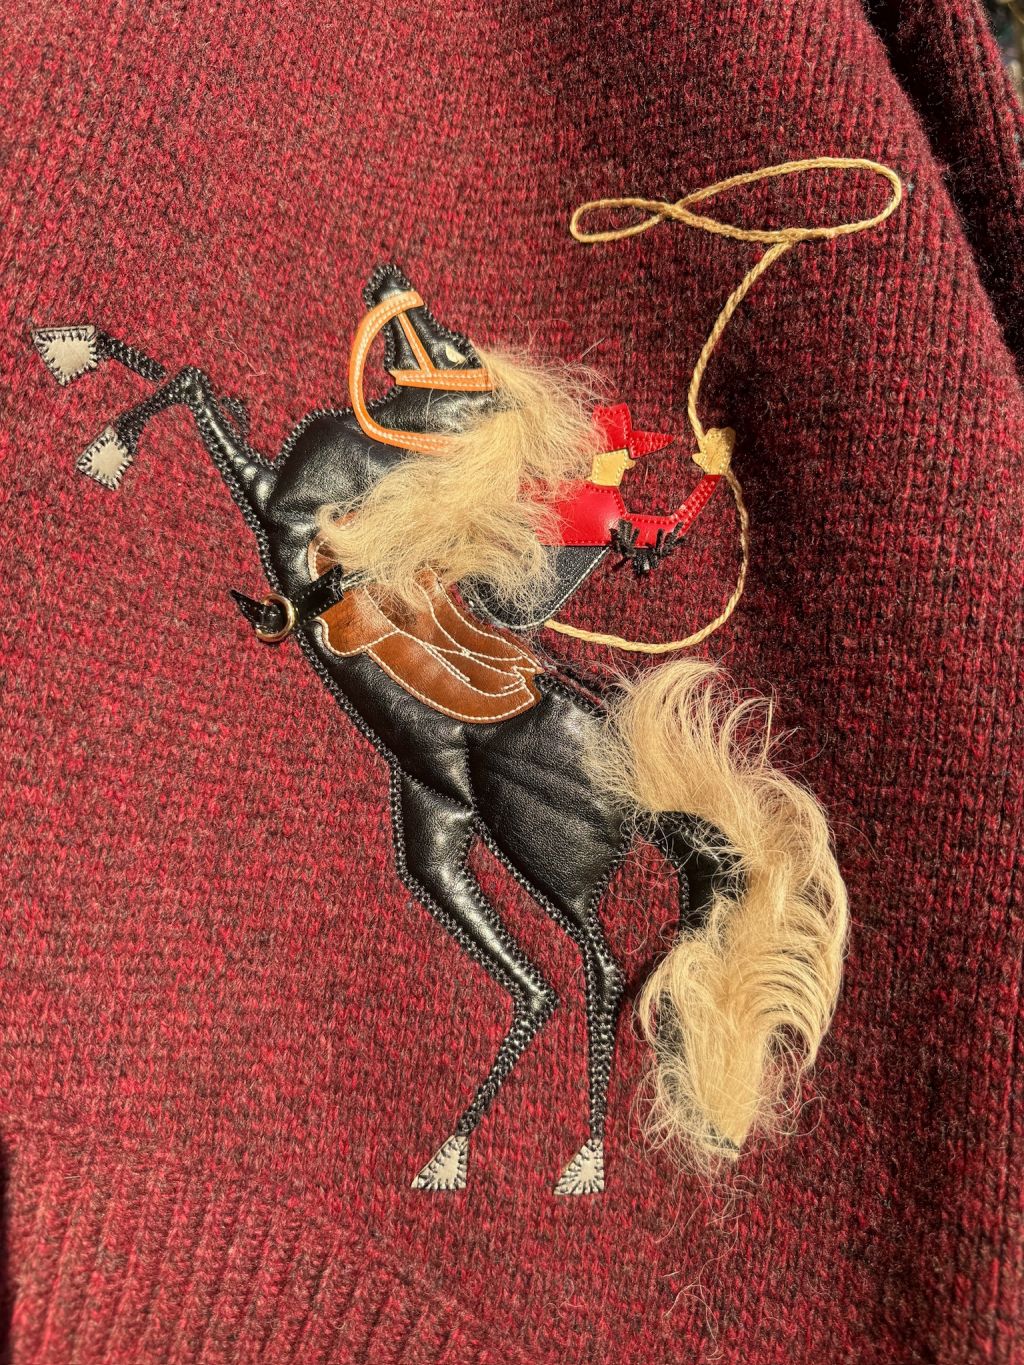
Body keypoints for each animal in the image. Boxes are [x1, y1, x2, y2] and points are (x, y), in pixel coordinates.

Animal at [32, 265, 846, 1194]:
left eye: (455, 345)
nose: (387, 278)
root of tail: (642, 788)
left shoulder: (272, 500)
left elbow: (190, 385)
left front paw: (101, 429)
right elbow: (197, 378)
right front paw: (76, 351)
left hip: (545, 856)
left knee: (602, 969)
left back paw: (584, 1155)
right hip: (435, 834)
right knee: (537, 987)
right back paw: (456, 1148)